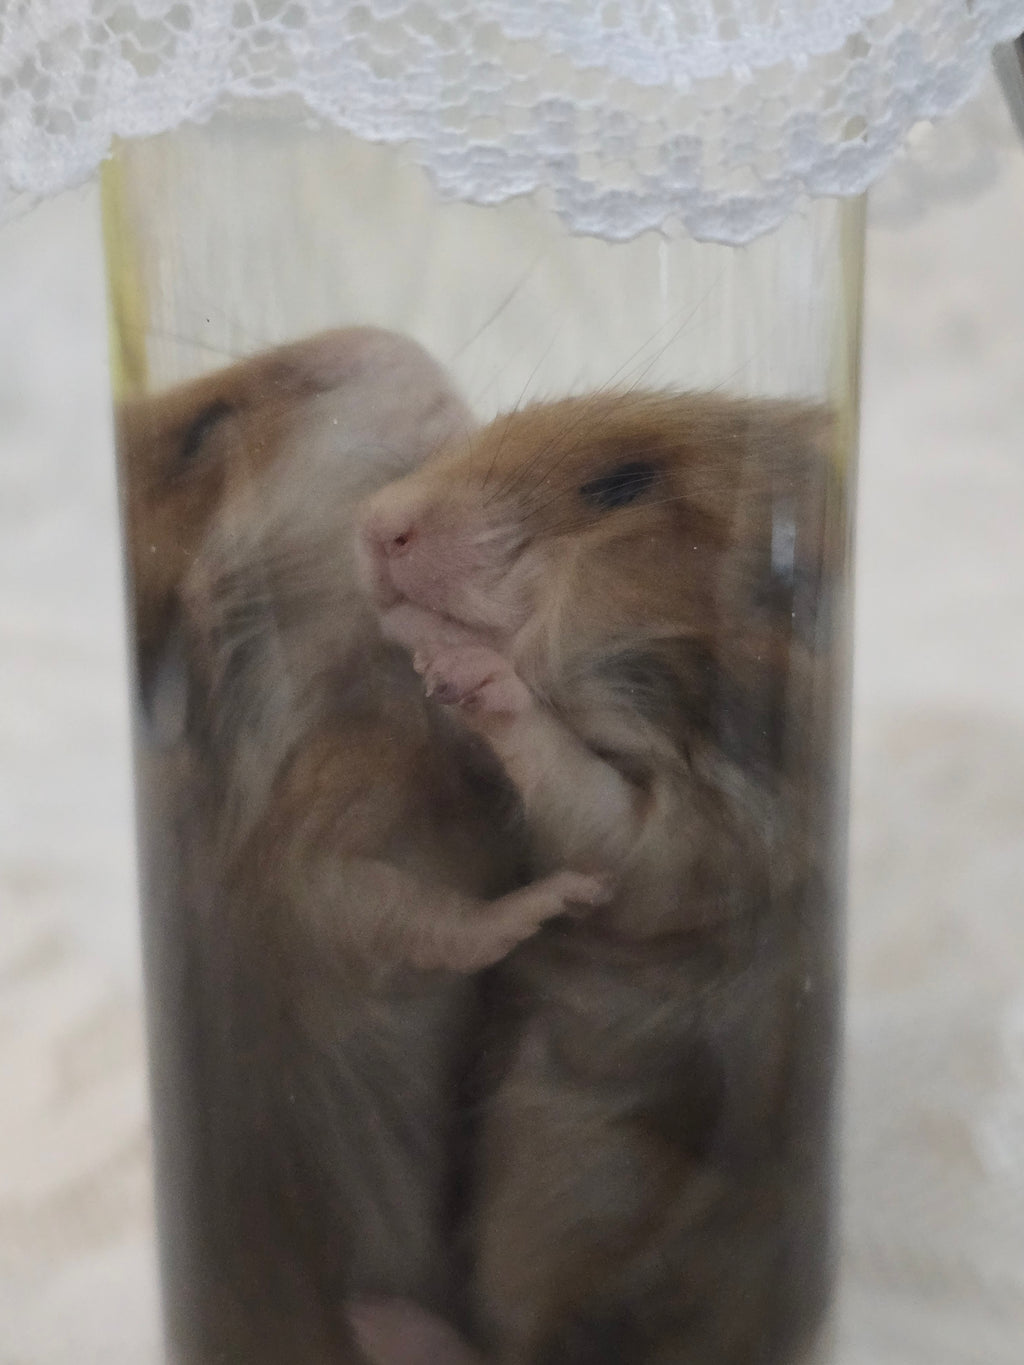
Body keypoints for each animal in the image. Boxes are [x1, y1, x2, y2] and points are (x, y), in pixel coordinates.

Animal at [116, 329, 605, 1365]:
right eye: (205, 429)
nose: (387, 336)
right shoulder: (306, 865)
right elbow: (415, 919)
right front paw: (553, 898)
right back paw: (389, 1325)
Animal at [357, 389, 847, 1365]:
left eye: (622, 486)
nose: (371, 523)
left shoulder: (708, 840)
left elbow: (592, 806)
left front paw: (468, 667)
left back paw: (382, 1318)